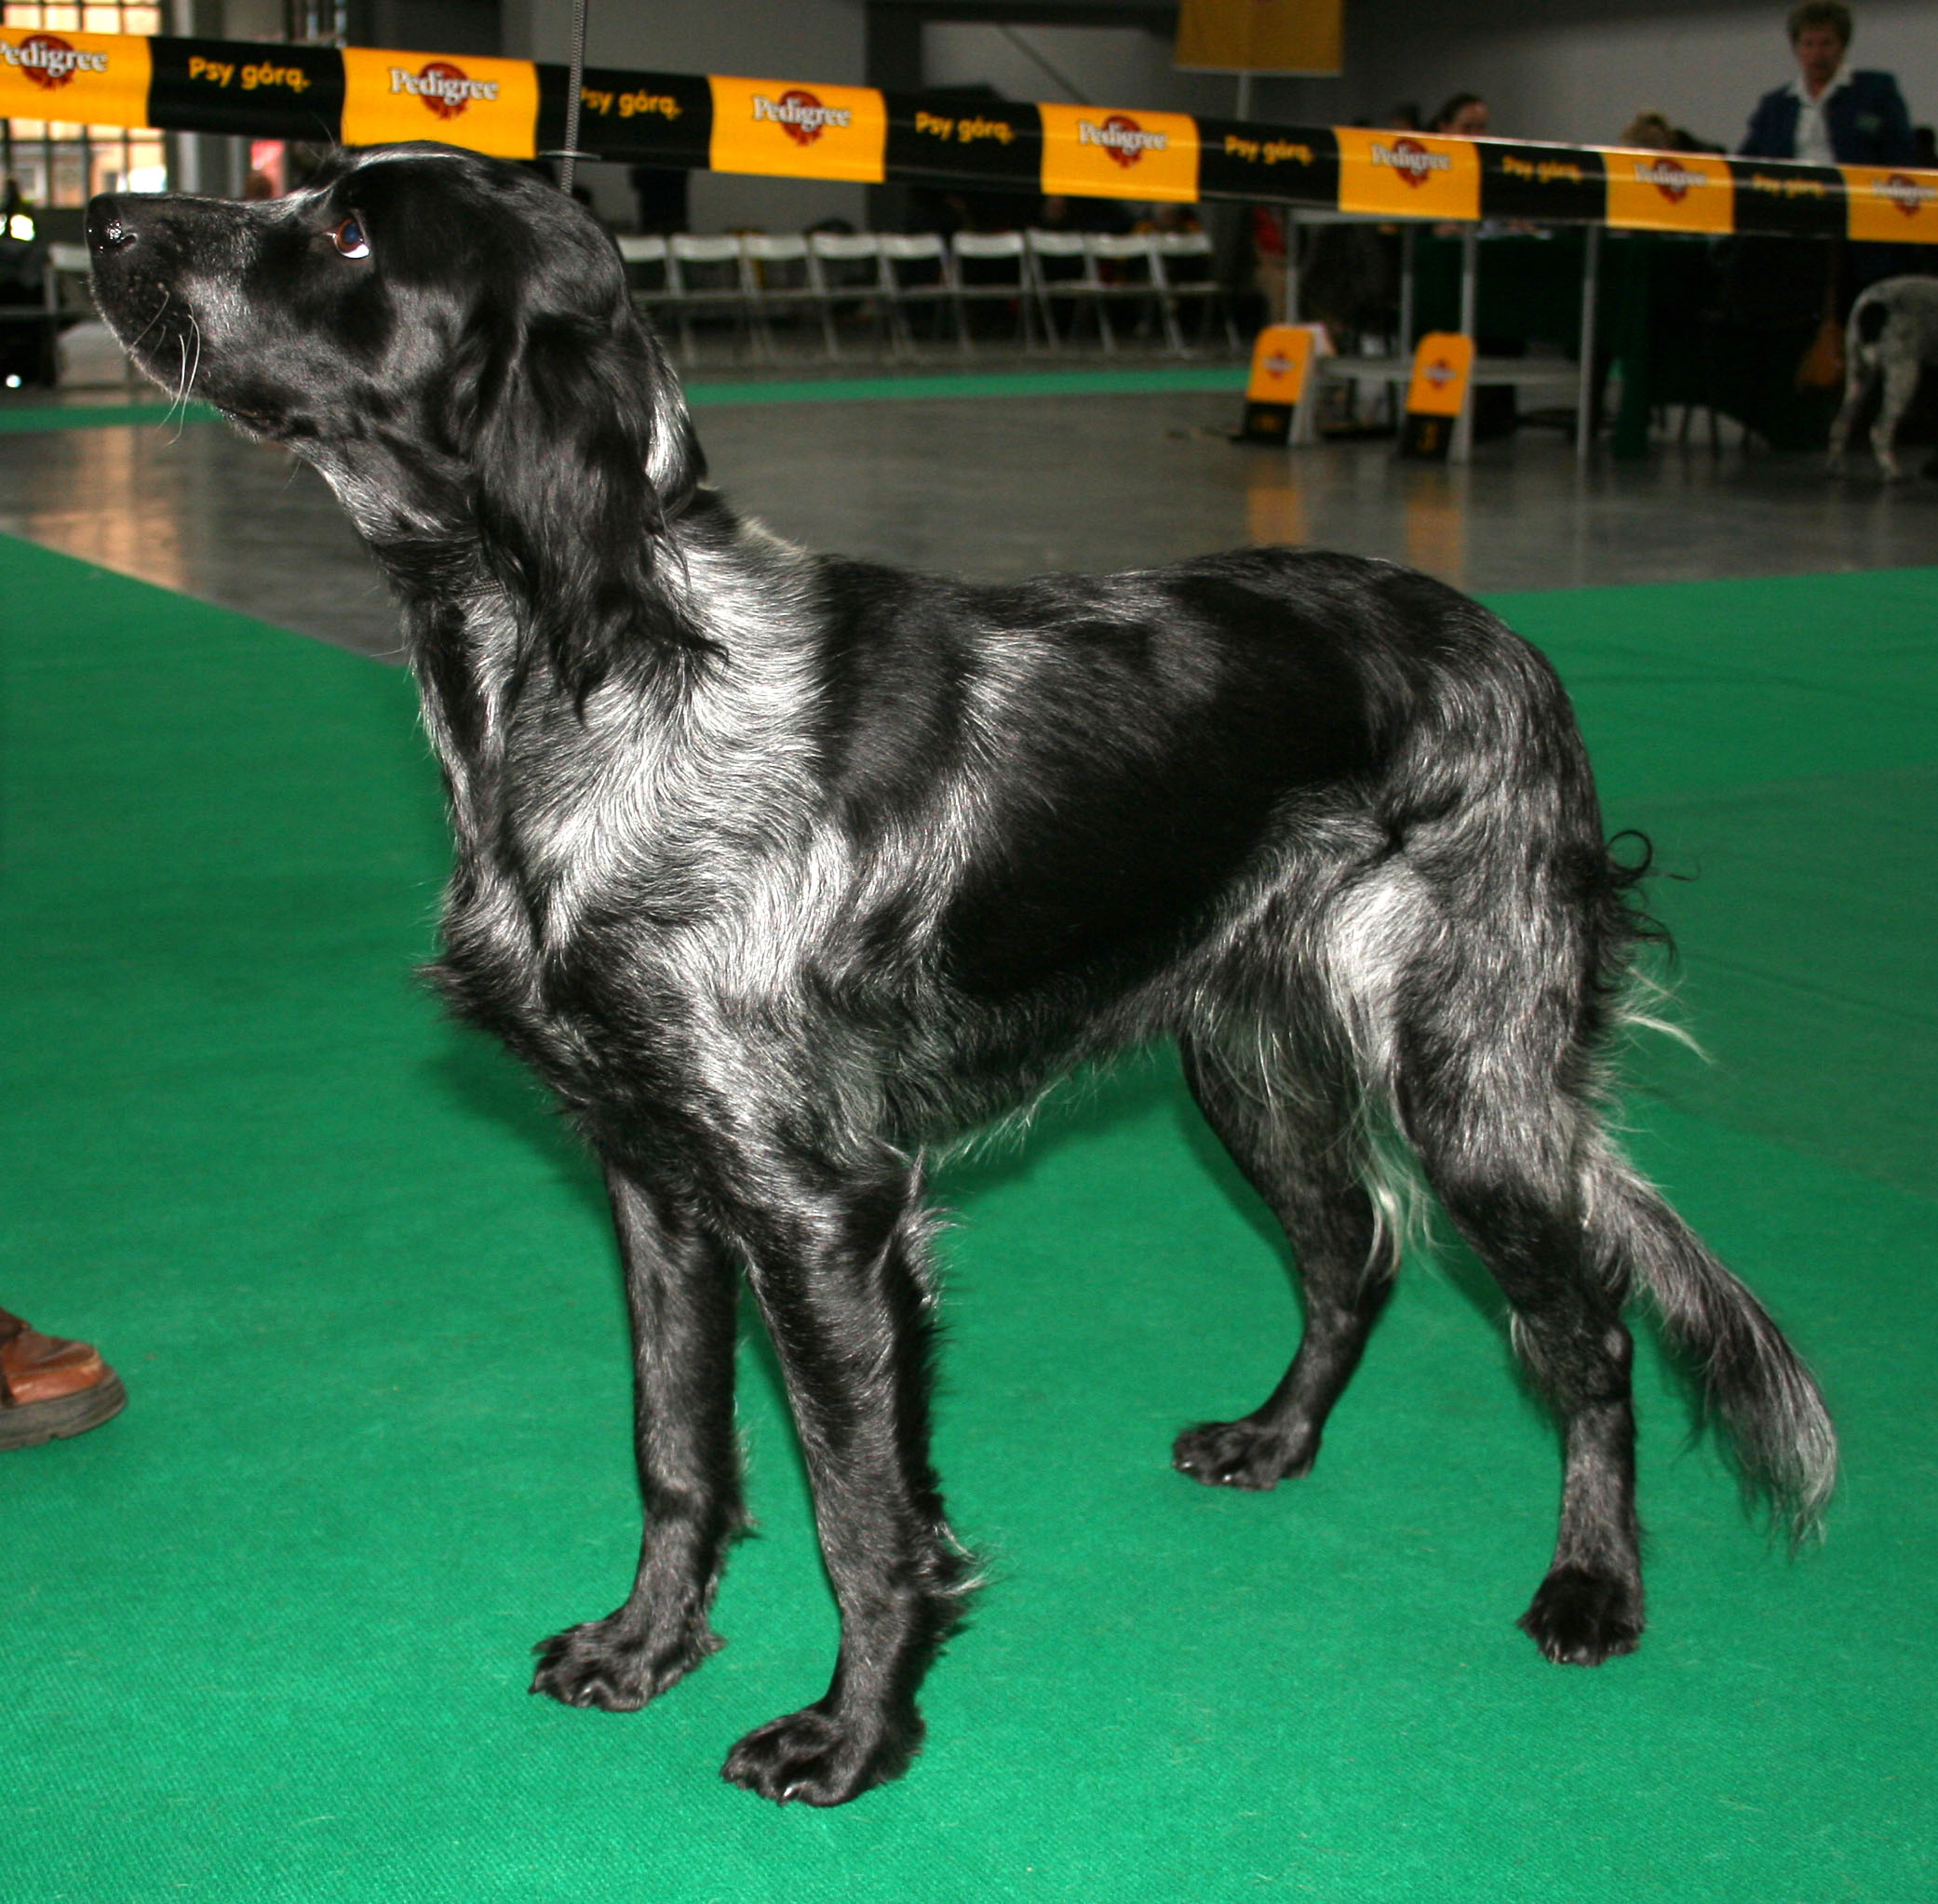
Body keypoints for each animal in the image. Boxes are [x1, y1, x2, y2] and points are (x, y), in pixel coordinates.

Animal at [83, 141, 1837, 1813]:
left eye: (348, 234)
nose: (103, 222)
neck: (601, 674)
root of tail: (1507, 648)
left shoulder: (823, 1213)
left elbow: (863, 1519)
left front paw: (851, 1740)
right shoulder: (654, 1177)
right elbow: (676, 1450)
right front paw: (646, 1648)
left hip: (1468, 1083)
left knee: (1585, 1333)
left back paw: (1593, 1586)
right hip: (1248, 1068)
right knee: (1353, 1254)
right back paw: (1273, 1439)